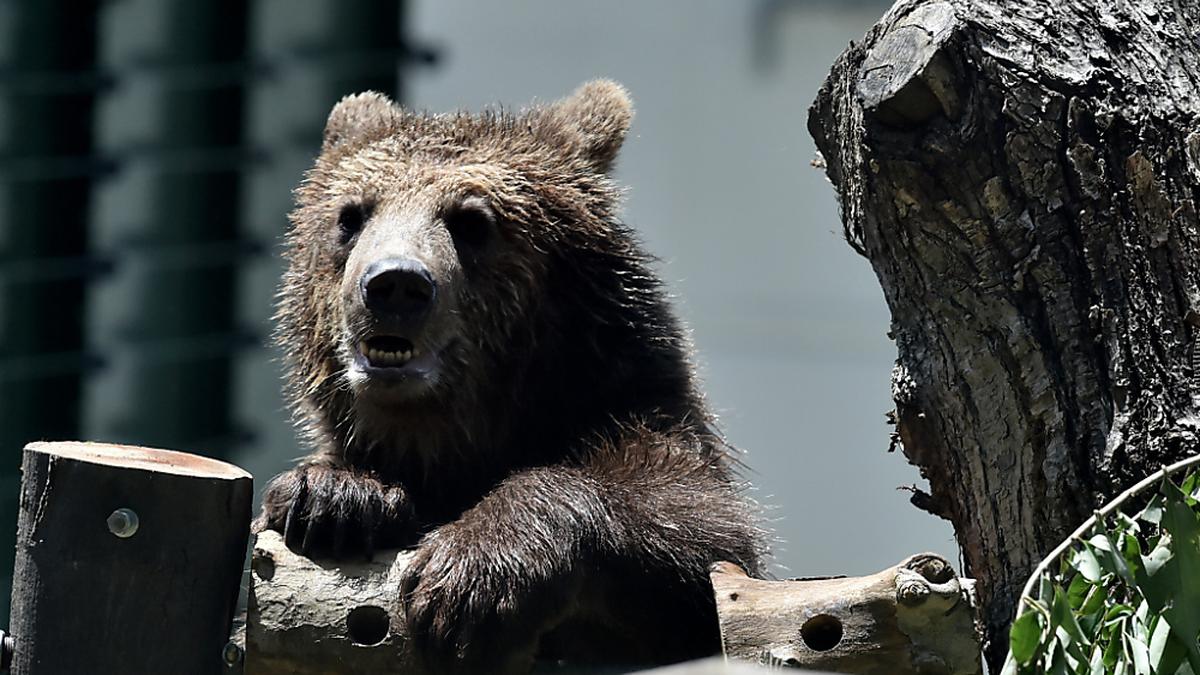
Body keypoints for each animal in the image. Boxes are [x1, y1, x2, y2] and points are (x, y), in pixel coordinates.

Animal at [255, 81, 768, 667]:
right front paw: (334, 497)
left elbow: (701, 528)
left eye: (471, 221)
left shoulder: (638, 411)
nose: (395, 284)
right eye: (351, 215)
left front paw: (471, 576)